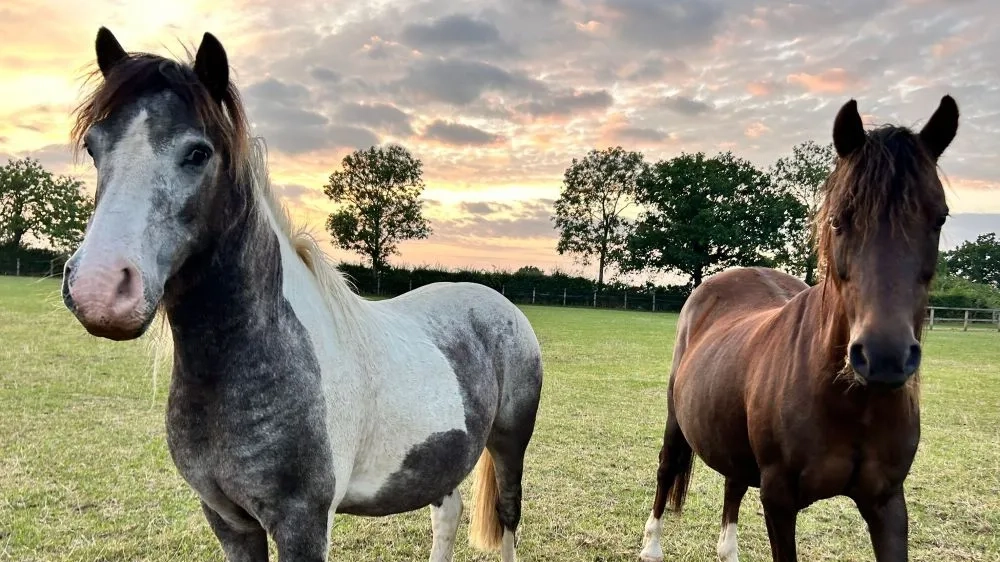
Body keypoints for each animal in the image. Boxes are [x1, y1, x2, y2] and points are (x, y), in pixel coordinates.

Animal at [62, 27, 543, 562]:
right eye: (94, 147)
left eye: (198, 153)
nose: (100, 288)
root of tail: (497, 302)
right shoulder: (228, 521)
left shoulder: (303, 523)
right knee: (448, 511)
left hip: (509, 442)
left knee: (507, 515)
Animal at [638, 95, 959, 562]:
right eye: (838, 220)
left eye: (939, 218)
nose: (884, 357)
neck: (849, 400)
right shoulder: (779, 499)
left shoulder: (887, 503)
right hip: (676, 419)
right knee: (667, 468)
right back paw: (651, 546)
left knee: (733, 482)